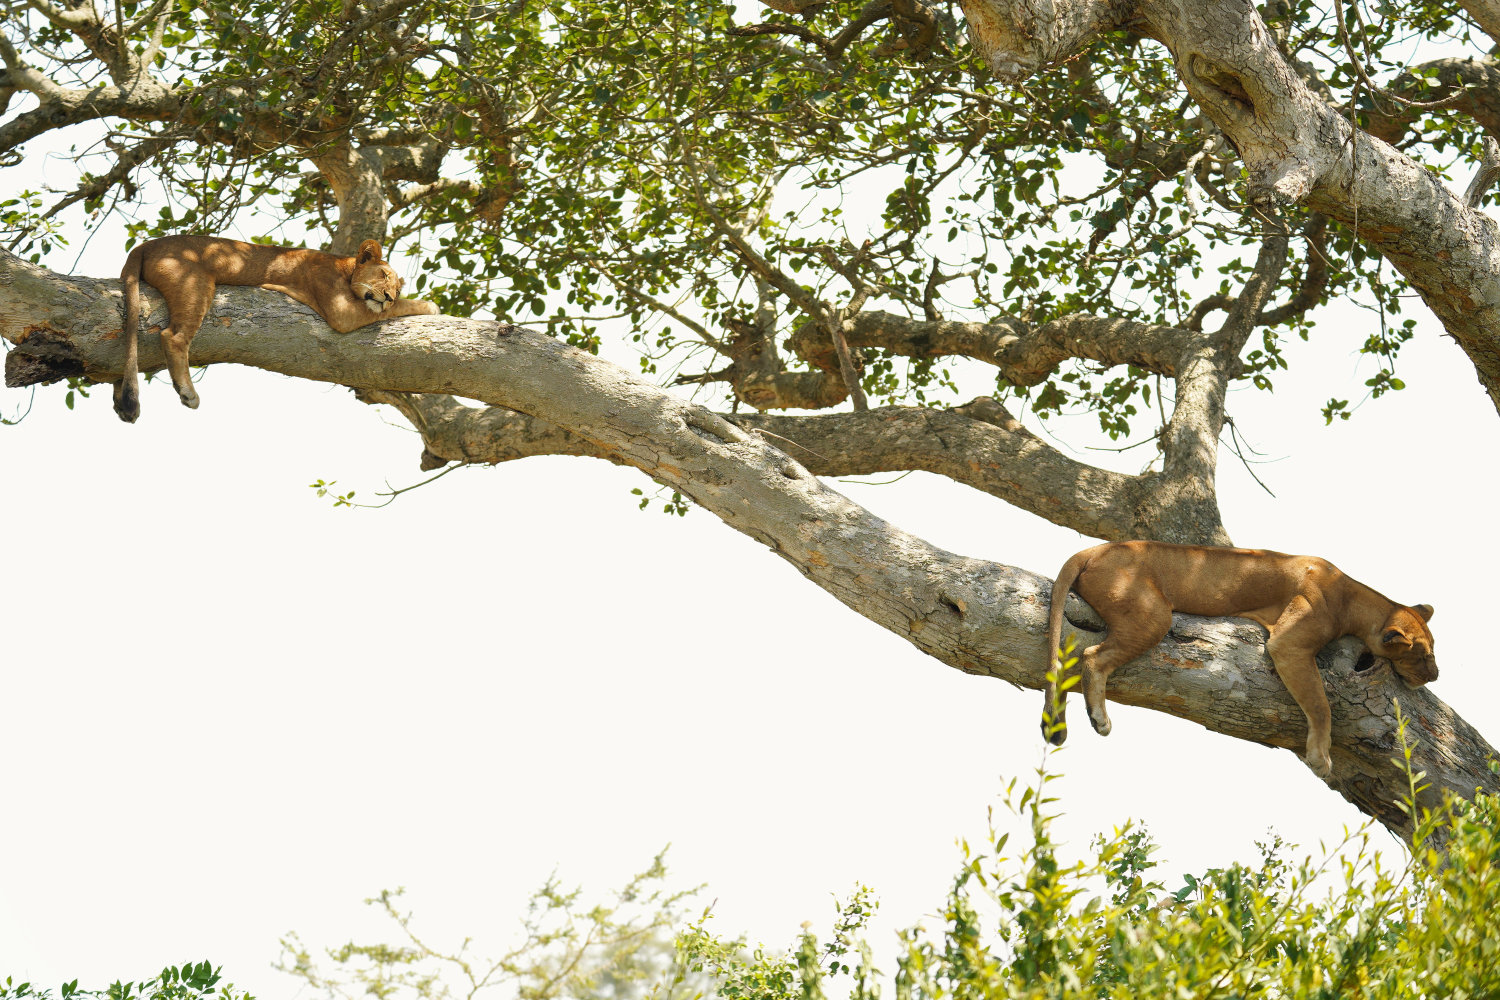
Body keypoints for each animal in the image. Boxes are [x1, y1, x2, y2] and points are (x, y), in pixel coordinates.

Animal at [114, 236, 439, 421]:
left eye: (397, 287)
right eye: (383, 274)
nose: (389, 296)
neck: (343, 268)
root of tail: (144, 245)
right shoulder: (341, 311)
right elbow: (402, 308)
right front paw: (431, 306)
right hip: (194, 283)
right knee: (173, 336)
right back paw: (187, 393)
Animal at [1041, 540, 1437, 778]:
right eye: (1422, 655)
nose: (1435, 674)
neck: (1354, 597)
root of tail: (1094, 549)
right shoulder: (1289, 644)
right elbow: (1321, 705)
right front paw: (1320, 757)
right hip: (1151, 614)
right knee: (1093, 656)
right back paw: (1100, 718)